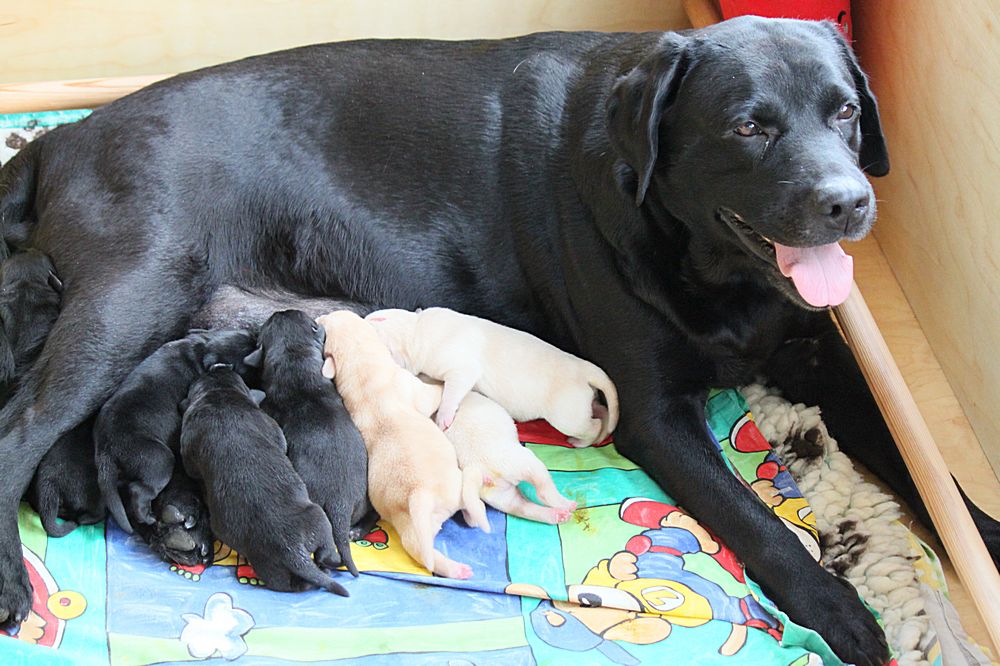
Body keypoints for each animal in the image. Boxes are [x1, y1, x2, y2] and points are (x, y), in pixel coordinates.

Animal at [94, 329, 255, 538]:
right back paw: (148, 517)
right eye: (248, 365)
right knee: (138, 490)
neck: (203, 349)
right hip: (157, 460)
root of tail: (105, 451)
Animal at [179, 364, 348, 595]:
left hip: (279, 559)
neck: (219, 394)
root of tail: (292, 550)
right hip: (316, 521)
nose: (219, 365)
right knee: (324, 557)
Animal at [317, 310, 481, 579]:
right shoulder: (412, 386)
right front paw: (440, 386)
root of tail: (420, 496)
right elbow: (434, 393)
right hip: (445, 494)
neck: (360, 367)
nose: (319, 316)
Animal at [367, 307, 619, 446]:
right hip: (581, 403)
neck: (416, 328)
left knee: (592, 424)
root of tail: (586, 370)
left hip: (566, 414)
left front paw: (444, 416)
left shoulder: (459, 365)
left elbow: (455, 387)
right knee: (599, 410)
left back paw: (581, 441)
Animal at [435, 384, 578, 526]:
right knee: (543, 492)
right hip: (526, 464)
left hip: (502, 497)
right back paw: (566, 504)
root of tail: (480, 470)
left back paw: (557, 515)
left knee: (523, 508)